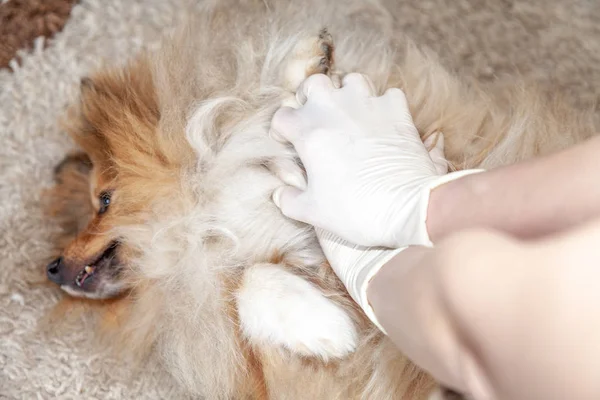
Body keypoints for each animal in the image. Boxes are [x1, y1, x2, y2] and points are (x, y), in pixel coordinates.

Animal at [43, 0, 596, 398]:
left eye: (104, 201)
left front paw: (308, 65)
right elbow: (251, 281)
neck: (203, 225)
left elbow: (269, 120)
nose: (50, 267)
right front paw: (326, 328)